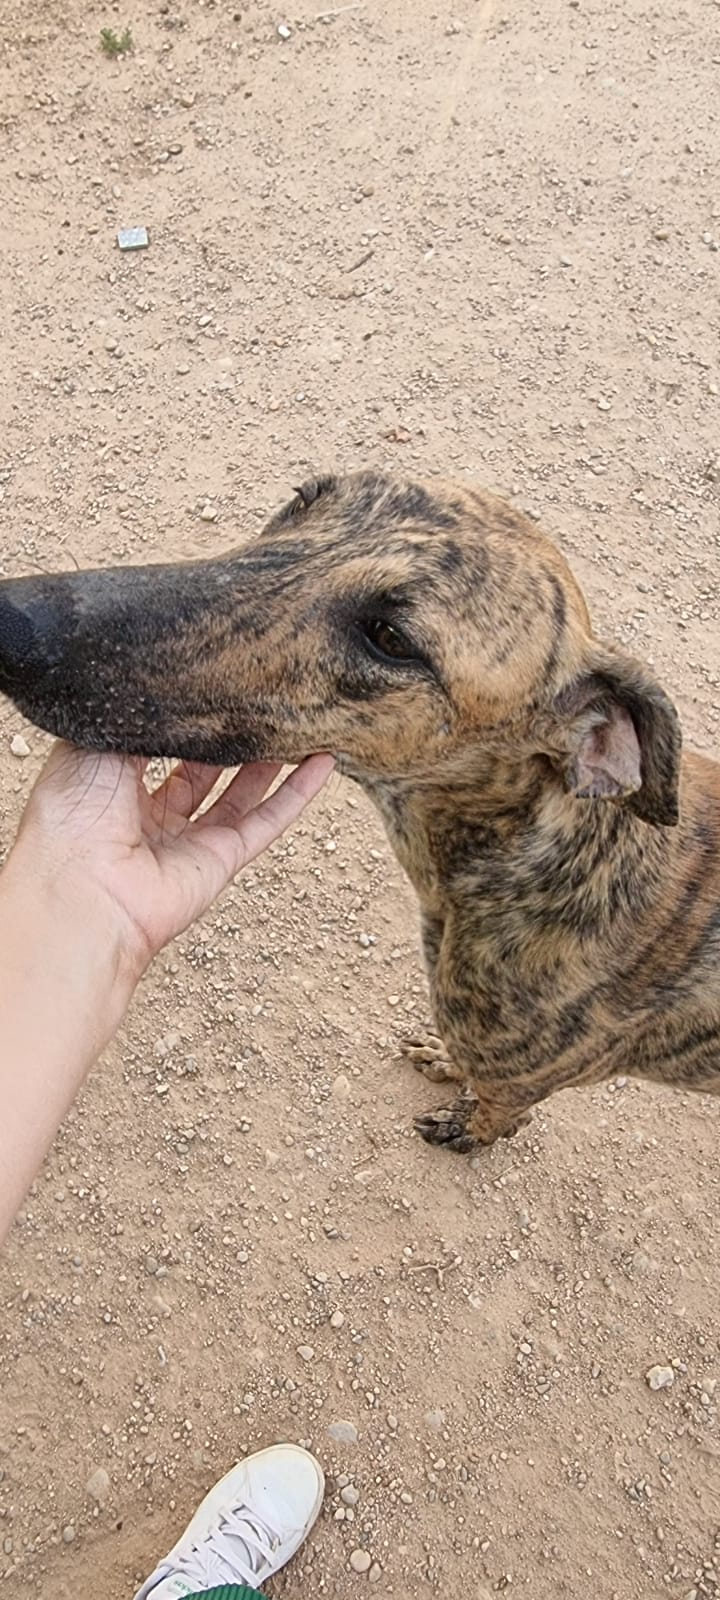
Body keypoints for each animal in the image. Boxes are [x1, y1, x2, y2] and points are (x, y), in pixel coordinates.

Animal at [1, 467, 720, 1158]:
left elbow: (497, 1113)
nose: (11, 621)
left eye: (390, 637)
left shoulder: (514, 1078)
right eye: (302, 500)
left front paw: (467, 1126)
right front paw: (443, 1061)